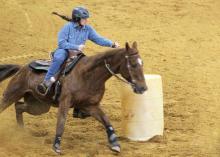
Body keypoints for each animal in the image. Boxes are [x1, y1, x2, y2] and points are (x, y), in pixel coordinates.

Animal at [0, 41, 148, 153]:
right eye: (133, 64)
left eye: (142, 63)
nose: (143, 88)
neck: (88, 75)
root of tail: (22, 68)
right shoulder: (65, 102)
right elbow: (61, 122)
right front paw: (56, 146)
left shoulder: (91, 105)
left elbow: (106, 121)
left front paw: (115, 144)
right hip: (12, 94)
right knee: (7, 105)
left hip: (39, 106)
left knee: (19, 106)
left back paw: (21, 131)